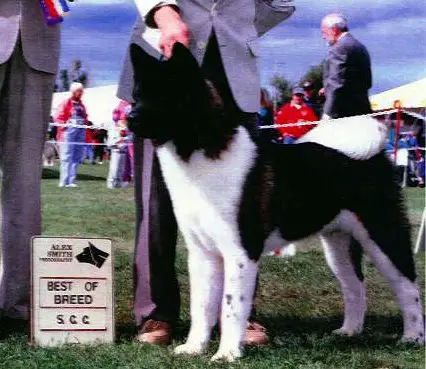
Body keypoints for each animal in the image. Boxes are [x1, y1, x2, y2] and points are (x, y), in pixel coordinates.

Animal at [128, 42, 424, 360]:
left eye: (165, 93)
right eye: (138, 94)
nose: (129, 118)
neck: (199, 150)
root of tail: (374, 156)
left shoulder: (239, 252)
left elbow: (231, 307)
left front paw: (227, 354)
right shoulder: (202, 254)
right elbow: (202, 306)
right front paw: (194, 347)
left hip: (382, 235)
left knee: (408, 286)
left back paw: (413, 337)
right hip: (338, 244)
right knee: (355, 286)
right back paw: (349, 331)